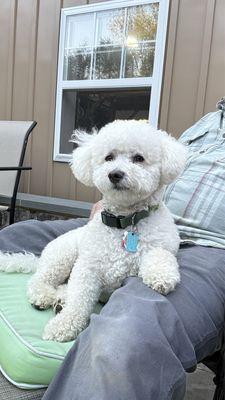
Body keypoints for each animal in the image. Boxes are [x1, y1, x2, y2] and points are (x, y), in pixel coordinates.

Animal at [0, 119, 186, 340]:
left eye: (139, 158)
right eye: (109, 157)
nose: (115, 174)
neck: (124, 221)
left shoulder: (162, 245)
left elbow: (160, 254)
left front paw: (161, 275)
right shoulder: (87, 268)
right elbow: (79, 300)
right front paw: (63, 325)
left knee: (62, 286)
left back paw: (60, 298)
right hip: (62, 256)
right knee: (39, 280)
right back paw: (45, 296)